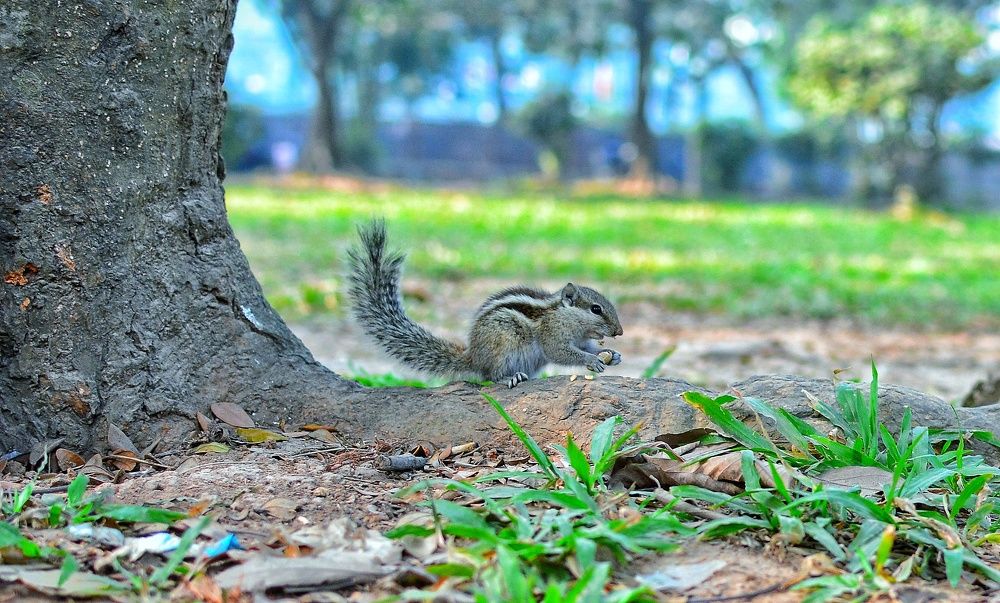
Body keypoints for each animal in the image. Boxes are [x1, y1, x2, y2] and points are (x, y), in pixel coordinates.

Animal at [346, 220, 624, 388]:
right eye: (596, 309)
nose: (619, 332)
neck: (564, 316)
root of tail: (473, 356)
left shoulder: (580, 338)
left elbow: (587, 346)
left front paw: (611, 355)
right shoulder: (553, 335)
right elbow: (562, 352)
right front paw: (592, 360)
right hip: (503, 344)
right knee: (490, 376)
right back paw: (511, 377)